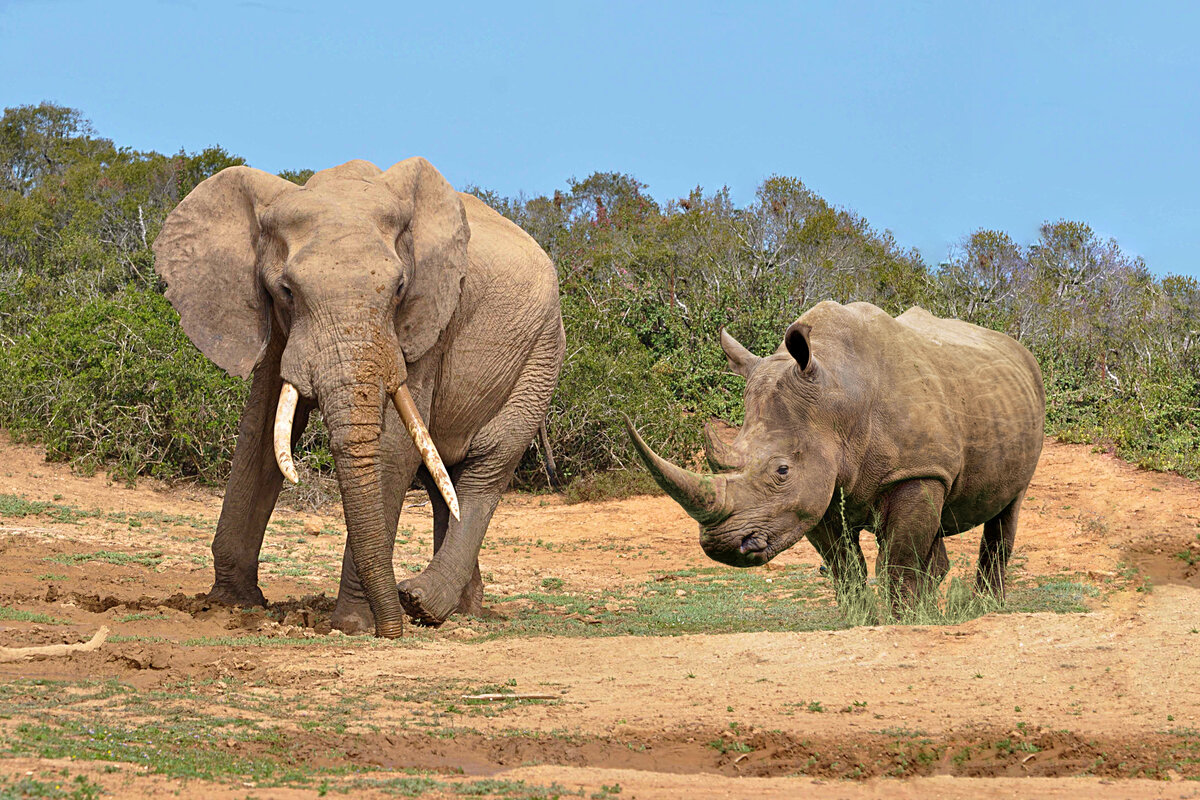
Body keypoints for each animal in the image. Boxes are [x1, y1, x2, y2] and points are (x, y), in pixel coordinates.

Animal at [153, 155, 561, 638]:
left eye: (400, 288)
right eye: (286, 291)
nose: (390, 632)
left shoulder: (425, 322)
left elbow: (394, 448)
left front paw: (352, 624)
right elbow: (261, 430)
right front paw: (230, 605)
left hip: (540, 355)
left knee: (487, 468)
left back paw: (422, 603)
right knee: (444, 478)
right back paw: (455, 610)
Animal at [624, 303, 1046, 604]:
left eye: (782, 470)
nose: (723, 546)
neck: (836, 401)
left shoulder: (916, 471)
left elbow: (898, 566)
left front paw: (900, 623)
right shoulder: (815, 493)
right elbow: (846, 571)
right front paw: (863, 621)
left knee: (1007, 510)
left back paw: (985, 609)